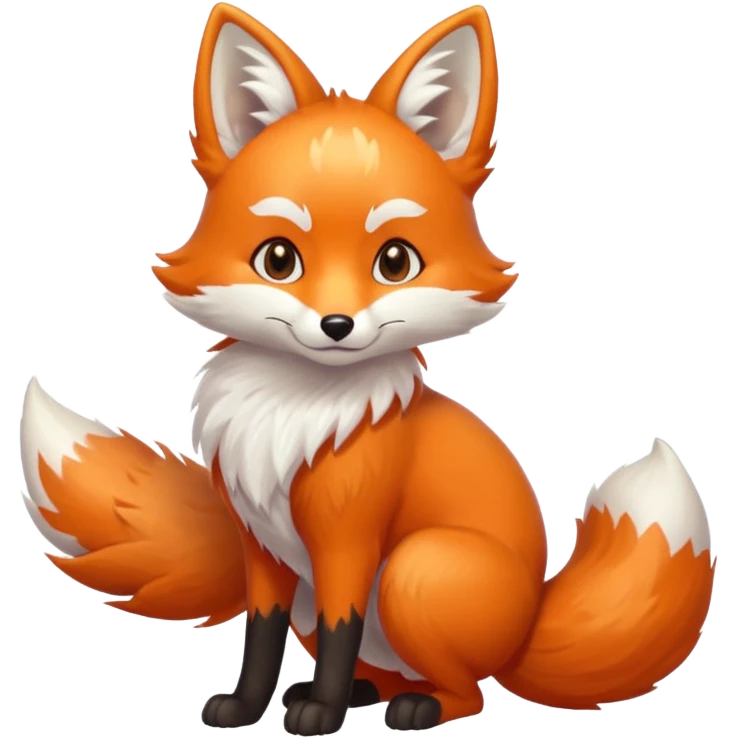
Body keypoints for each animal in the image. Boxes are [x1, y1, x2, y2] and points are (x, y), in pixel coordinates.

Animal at [17, 1, 716, 734]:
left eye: (395, 262)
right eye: (278, 259)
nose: (336, 325)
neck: (293, 414)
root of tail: (529, 625)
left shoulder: (348, 539)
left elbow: (340, 626)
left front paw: (320, 713)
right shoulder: (263, 548)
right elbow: (260, 634)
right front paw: (249, 706)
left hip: (417, 569)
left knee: (466, 690)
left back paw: (410, 705)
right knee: (387, 668)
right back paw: (362, 691)